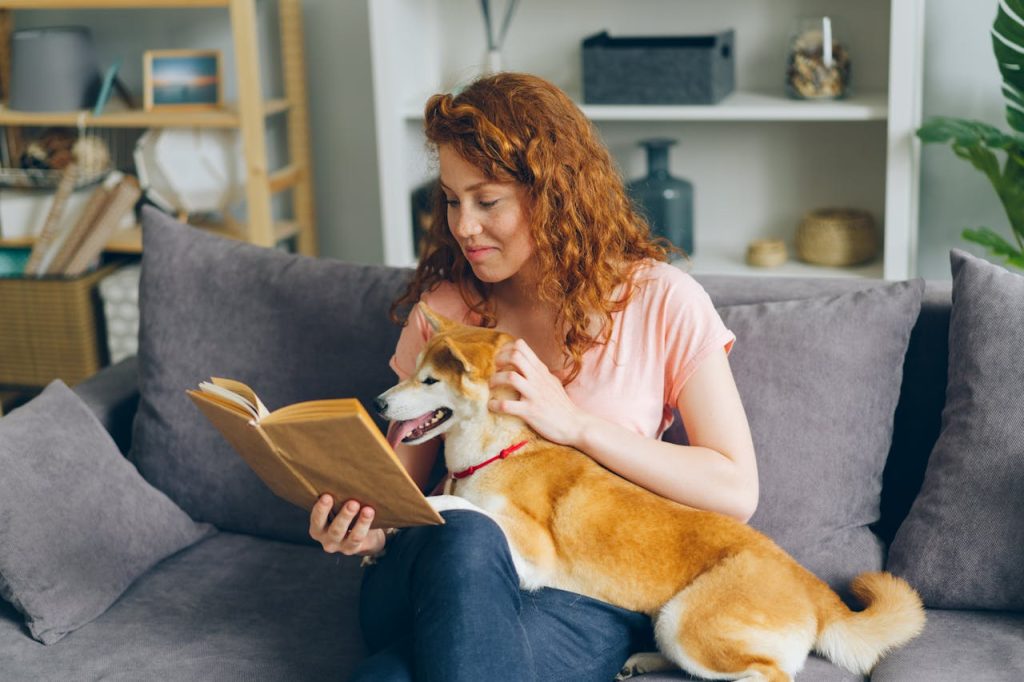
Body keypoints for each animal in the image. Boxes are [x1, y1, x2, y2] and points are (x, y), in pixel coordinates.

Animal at [376, 303, 929, 679]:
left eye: (429, 381)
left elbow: (464, 507)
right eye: (412, 372)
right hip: (672, 622)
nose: (379, 403)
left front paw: (420, 503)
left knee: (768, 675)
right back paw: (641, 659)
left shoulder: (532, 552)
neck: (498, 451)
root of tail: (813, 588)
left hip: (687, 621)